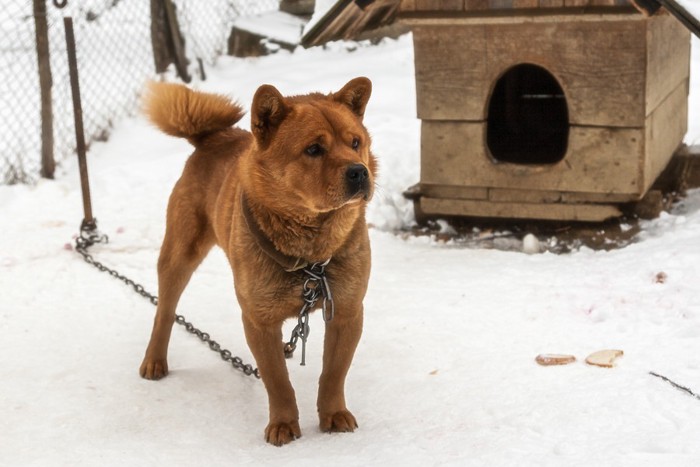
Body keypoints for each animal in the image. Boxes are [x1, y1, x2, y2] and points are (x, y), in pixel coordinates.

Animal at [138, 78, 378, 448]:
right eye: (313, 149)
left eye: (355, 143)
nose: (359, 171)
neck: (311, 254)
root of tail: (212, 137)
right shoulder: (258, 319)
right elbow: (277, 380)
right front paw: (283, 425)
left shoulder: (347, 310)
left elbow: (333, 373)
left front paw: (334, 415)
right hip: (179, 254)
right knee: (164, 310)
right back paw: (154, 360)